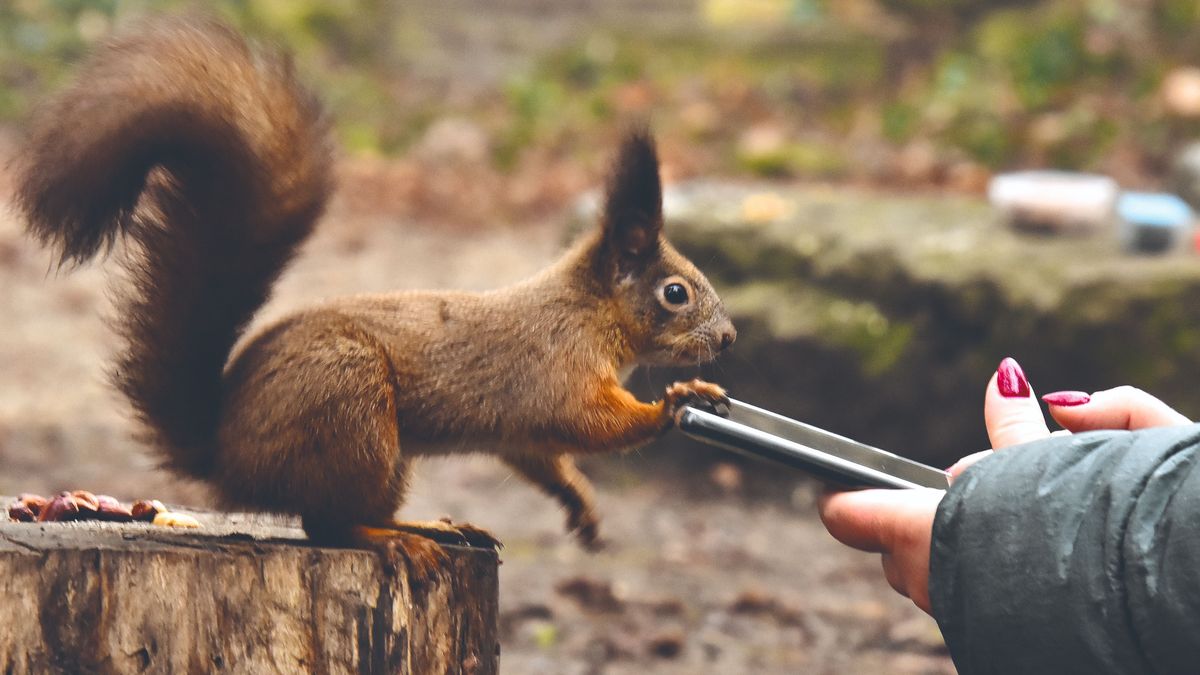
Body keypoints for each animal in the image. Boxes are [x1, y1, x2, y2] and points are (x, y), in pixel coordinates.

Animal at [14, 14, 734, 571]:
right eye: (676, 292)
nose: (727, 339)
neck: (590, 313)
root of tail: (224, 456)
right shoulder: (554, 373)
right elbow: (593, 423)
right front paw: (675, 403)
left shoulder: (524, 429)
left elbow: (540, 459)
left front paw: (581, 506)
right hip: (351, 409)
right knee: (327, 525)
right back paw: (395, 540)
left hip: (385, 454)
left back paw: (428, 526)